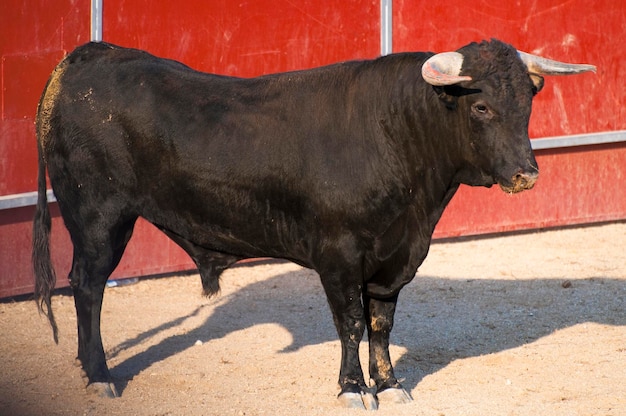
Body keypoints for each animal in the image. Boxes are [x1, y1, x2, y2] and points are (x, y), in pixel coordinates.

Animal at [31, 39, 592, 410]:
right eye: (480, 106)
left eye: (528, 102)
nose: (526, 174)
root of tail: (84, 57)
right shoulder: (338, 256)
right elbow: (349, 322)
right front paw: (353, 389)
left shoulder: (395, 257)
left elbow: (381, 324)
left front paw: (391, 385)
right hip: (98, 217)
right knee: (87, 286)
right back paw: (99, 375)